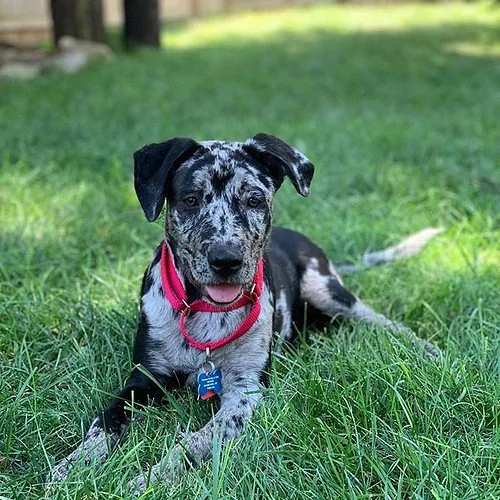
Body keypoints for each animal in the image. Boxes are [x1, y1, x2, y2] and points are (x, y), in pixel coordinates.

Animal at [49, 132, 442, 492]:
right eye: (190, 199)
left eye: (254, 199)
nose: (226, 260)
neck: (207, 315)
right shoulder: (144, 379)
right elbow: (104, 422)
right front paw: (74, 466)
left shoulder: (245, 391)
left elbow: (194, 440)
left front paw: (150, 479)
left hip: (328, 290)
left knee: (379, 319)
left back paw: (425, 349)